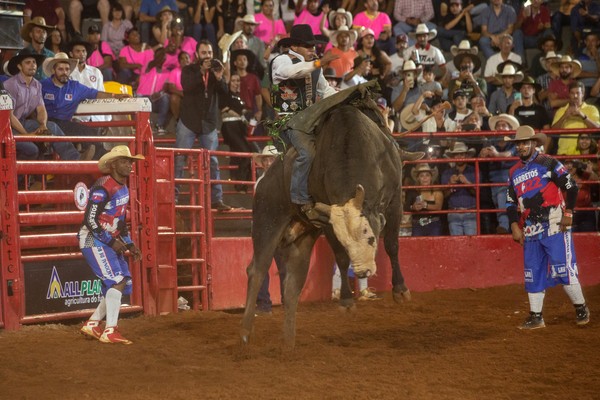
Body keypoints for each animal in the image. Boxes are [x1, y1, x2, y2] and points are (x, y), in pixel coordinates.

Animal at [241, 83, 420, 346]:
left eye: (370, 238)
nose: (363, 272)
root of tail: (262, 181)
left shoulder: (396, 198)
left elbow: (392, 244)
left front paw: (400, 290)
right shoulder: (326, 218)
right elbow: (341, 257)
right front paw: (346, 302)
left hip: (301, 239)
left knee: (292, 284)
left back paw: (288, 342)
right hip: (267, 222)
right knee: (257, 271)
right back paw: (246, 333)